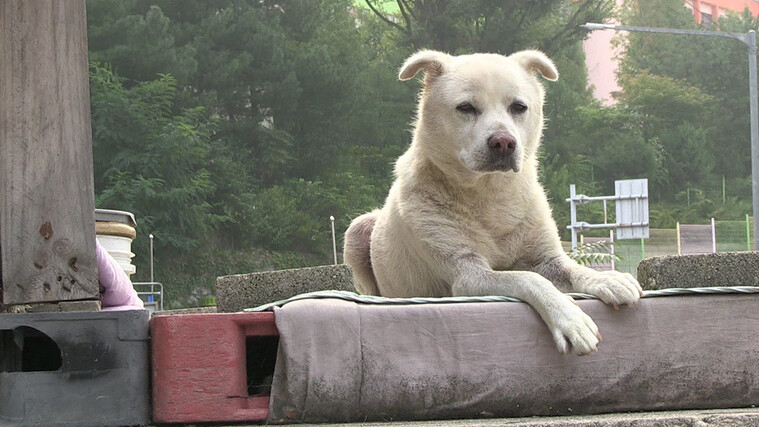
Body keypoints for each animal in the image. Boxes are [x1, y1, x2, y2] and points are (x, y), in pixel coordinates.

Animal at [344, 49, 640, 358]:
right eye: (465, 108)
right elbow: (528, 278)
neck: (490, 195)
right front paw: (569, 318)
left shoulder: (545, 258)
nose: (503, 142)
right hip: (358, 229)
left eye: (518, 107)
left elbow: (569, 268)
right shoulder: (468, 274)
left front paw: (609, 280)